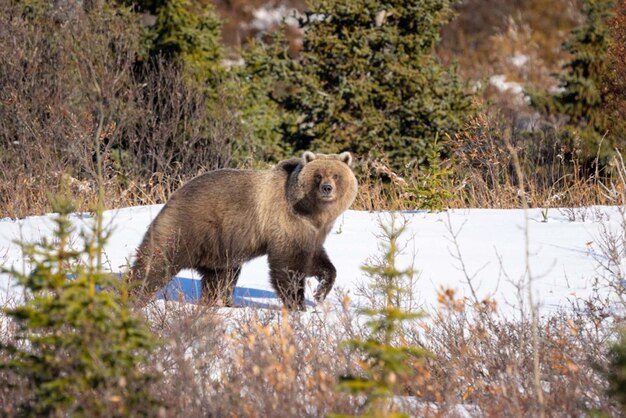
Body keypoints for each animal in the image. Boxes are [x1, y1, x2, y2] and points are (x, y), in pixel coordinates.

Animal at [129, 152, 356, 308]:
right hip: (189, 227)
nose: (327, 188)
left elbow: (317, 261)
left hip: (219, 246)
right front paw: (297, 304)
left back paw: (220, 303)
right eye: (318, 175)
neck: (313, 213)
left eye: (336, 175)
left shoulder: (311, 232)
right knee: (156, 262)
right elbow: (288, 265)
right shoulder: (285, 222)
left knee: (220, 277)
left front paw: (320, 292)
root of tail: (174, 195)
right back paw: (134, 294)